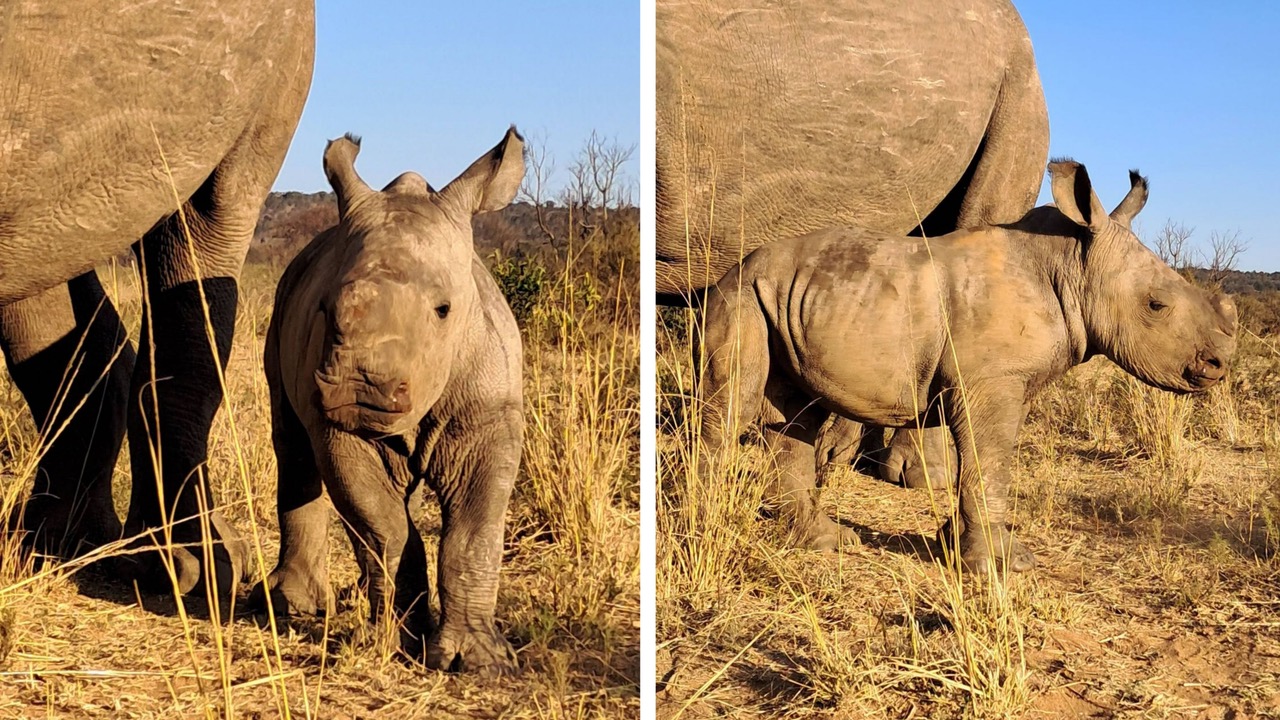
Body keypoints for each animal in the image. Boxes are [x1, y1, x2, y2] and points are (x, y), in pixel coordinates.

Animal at [253, 129, 526, 673]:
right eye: (325, 308)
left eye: (443, 310)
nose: (358, 387)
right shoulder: (336, 425)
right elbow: (384, 523)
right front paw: (398, 639)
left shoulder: (489, 414)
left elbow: (473, 530)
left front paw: (480, 662)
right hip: (282, 303)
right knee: (291, 441)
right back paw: (295, 604)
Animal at [698, 161, 1237, 572]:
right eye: (1156, 306)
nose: (1217, 365)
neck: (1072, 265)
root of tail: (734, 268)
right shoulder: (991, 380)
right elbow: (989, 460)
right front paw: (1004, 565)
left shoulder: (1000, 380)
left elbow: (983, 461)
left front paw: (958, 546)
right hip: (738, 292)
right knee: (735, 405)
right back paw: (701, 524)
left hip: (780, 295)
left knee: (794, 415)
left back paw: (824, 542)